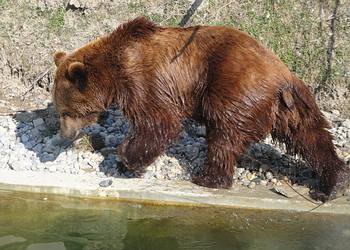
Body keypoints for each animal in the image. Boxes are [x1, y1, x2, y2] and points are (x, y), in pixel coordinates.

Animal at [53, 17, 348, 201]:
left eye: (65, 111)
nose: (64, 135)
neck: (114, 70)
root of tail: (282, 75)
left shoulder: (145, 79)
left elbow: (161, 122)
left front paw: (125, 158)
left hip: (234, 88)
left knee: (224, 134)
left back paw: (207, 177)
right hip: (293, 106)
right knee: (310, 136)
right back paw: (334, 183)